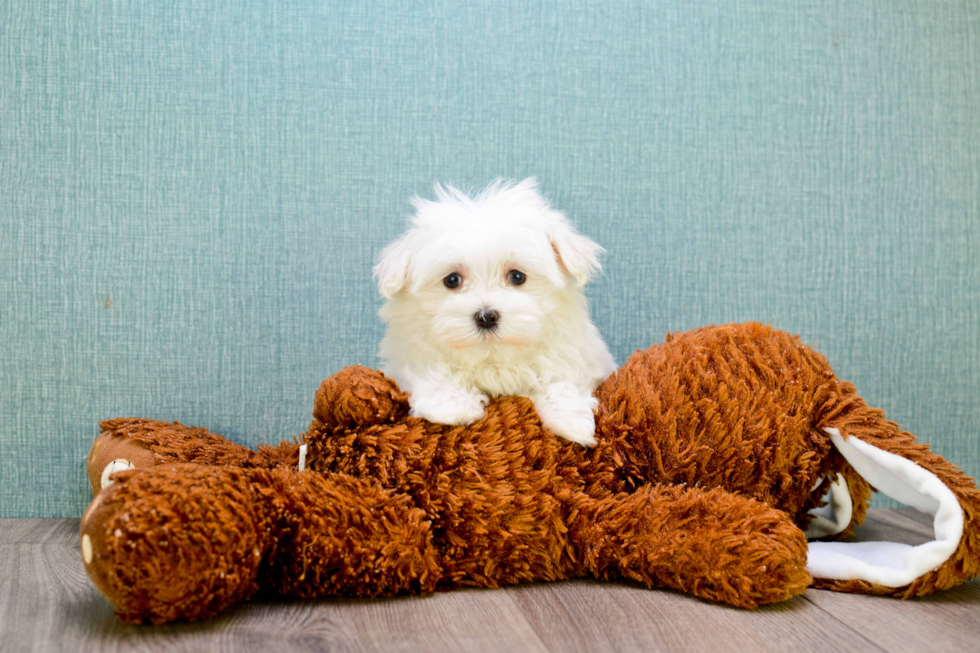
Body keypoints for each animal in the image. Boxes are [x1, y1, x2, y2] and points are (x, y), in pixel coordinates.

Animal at [372, 177, 616, 444]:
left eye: (517, 276)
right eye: (452, 280)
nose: (486, 316)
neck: (492, 359)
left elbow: (562, 379)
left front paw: (571, 421)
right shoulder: (409, 353)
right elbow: (433, 370)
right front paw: (452, 406)